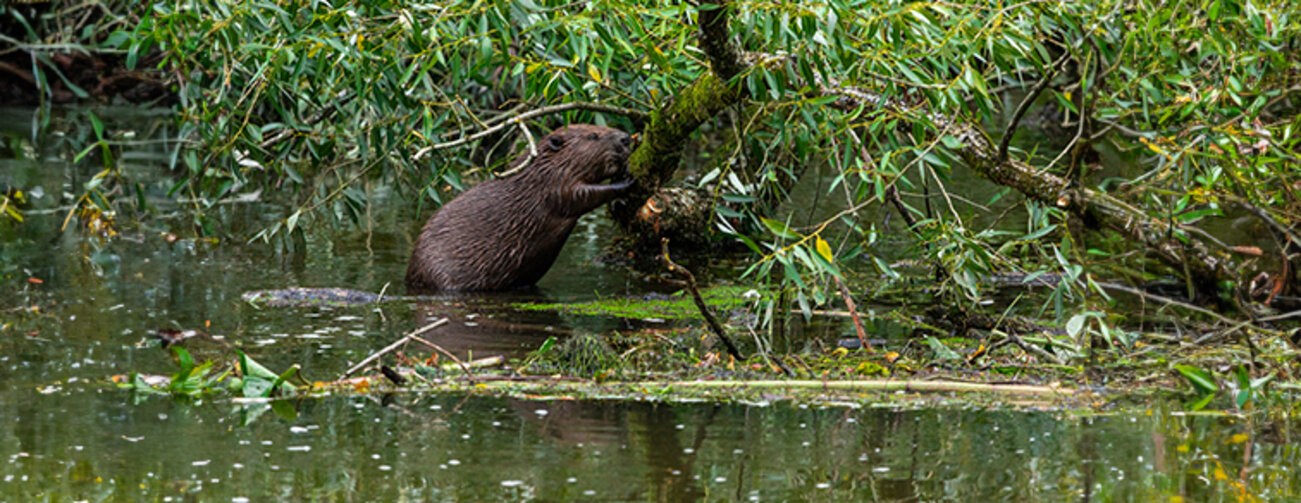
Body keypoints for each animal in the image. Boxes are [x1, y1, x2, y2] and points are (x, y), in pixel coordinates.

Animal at [403, 122, 632, 293]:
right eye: (593, 135)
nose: (626, 138)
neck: (540, 167)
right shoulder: (552, 184)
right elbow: (579, 196)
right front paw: (625, 182)